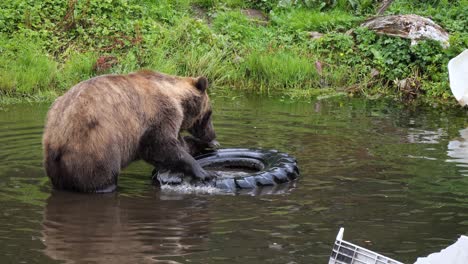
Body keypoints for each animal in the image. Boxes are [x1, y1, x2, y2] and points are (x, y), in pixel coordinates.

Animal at [43, 71, 218, 193]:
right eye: (209, 113)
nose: (213, 135)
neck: (178, 98)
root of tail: (58, 139)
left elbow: (179, 144)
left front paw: (204, 145)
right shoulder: (159, 113)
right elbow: (159, 145)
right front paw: (204, 172)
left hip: (56, 161)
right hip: (95, 146)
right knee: (100, 178)